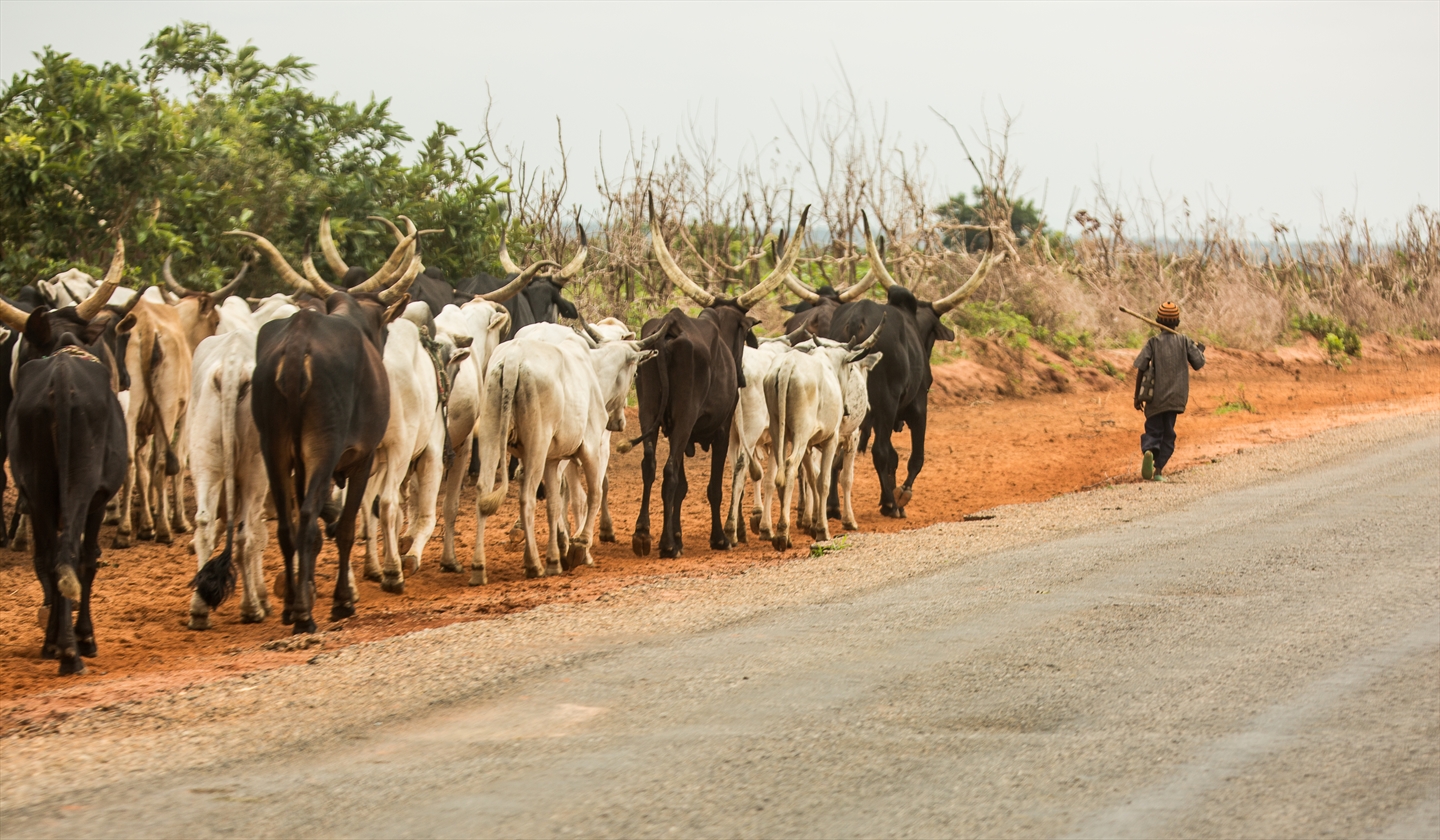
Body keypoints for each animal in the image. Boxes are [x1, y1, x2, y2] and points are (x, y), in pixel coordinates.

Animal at [0, 243, 128, 677]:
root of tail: (61, 378)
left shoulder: (34, 497)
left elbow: (47, 560)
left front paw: (53, 639)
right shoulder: (99, 497)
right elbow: (88, 560)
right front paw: (82, 638)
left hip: (38, 490)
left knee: (50, 558)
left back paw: (58, 644)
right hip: (78, 488)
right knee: (70, 554)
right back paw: (73, 652)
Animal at [619, 195, 812, 559]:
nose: (740, 376)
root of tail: (670, 326)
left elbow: (684, 486)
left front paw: (679, 533)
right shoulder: (721, 429)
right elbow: (711, 486)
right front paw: (717, 537)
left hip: (649, 409)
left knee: (650, 466)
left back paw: (643, 535)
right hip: (684, 416)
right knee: (668, 470)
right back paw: (667, 546)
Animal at [829, 214, 996, 518]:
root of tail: (857, 320)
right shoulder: (918, 405)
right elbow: (913, 456)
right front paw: (901, 494)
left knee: (836, 449)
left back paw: (833, 507)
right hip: (885, 402)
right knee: (880, 451)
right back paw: (891, 505)